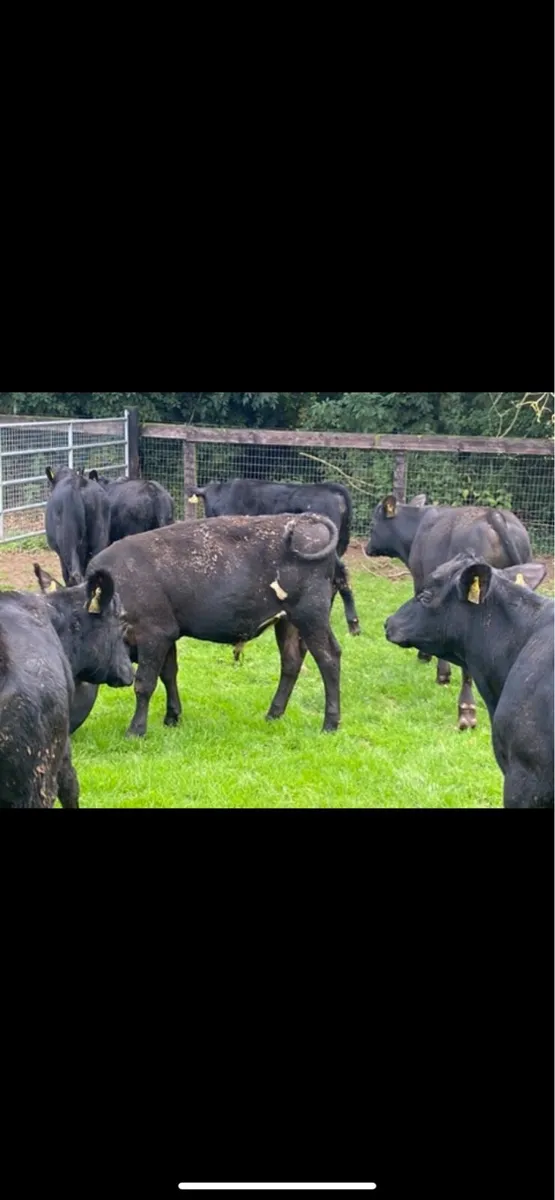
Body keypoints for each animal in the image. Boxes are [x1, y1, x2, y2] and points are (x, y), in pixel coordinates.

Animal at [87, 513, 342, 739]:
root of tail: (309, 521)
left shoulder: (154, 635)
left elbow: (144, 683)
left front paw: (136, 730)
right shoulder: (168, 635)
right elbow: (169, 674)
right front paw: (172, 717)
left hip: (311, 617)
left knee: (329, 658)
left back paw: (330, 724)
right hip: (288, 622)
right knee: (291, 662)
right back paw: (273, 714)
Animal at [367, 494, 532, 729]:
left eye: (373, 524)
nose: (367, 547)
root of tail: (495, 514)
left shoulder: (422, 582)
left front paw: (436, 667)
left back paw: (466, 709)